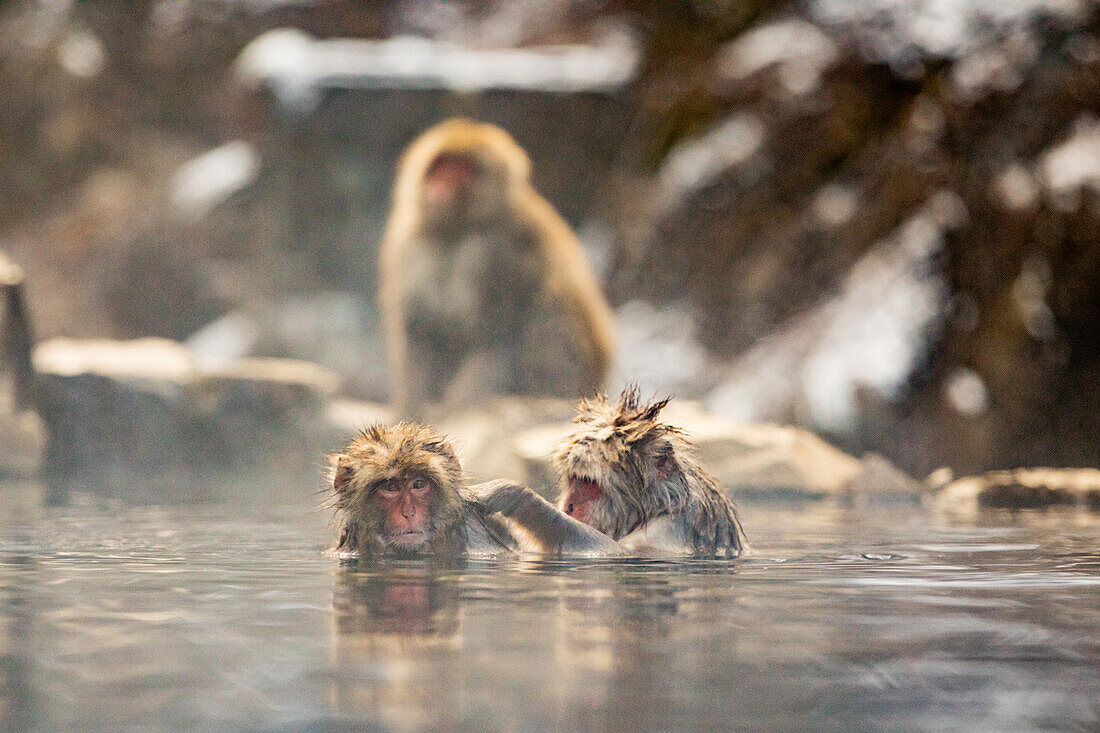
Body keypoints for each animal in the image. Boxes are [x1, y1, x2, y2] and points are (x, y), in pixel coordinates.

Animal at [380, 118, 616, 416]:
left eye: (462, 171)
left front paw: (459, 411)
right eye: (440, 167)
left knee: (548, 306)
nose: (441, 187)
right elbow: (416, 334)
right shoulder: (406, 245)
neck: (456, 234)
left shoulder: (499, 255)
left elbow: (494, 339)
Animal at [481, 387, 748, 554]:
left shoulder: (670, 529)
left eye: (589, 483)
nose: (568, 507)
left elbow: (617, 552)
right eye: (574, 480)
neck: (664, 503)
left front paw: (516, 496)